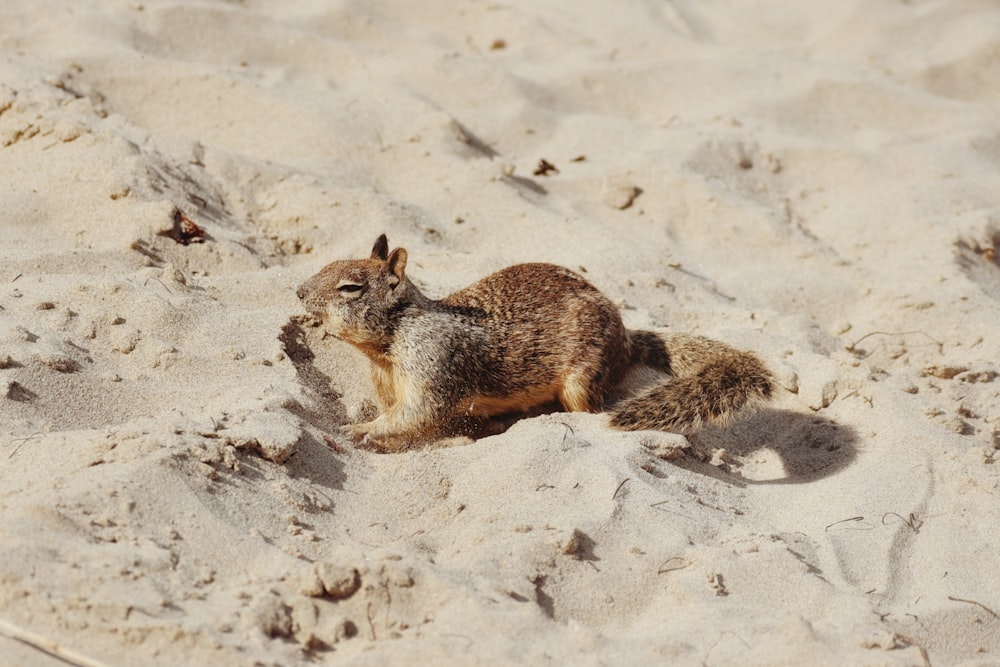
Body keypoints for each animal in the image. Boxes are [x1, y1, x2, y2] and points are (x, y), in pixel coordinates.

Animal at [296, 232, 772, 452]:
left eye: (350, 288)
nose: (299, 292)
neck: (388, 347)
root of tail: (626, 339)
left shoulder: (436, 367)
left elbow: (416, 416)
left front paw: (360, 430)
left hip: (582, 378)